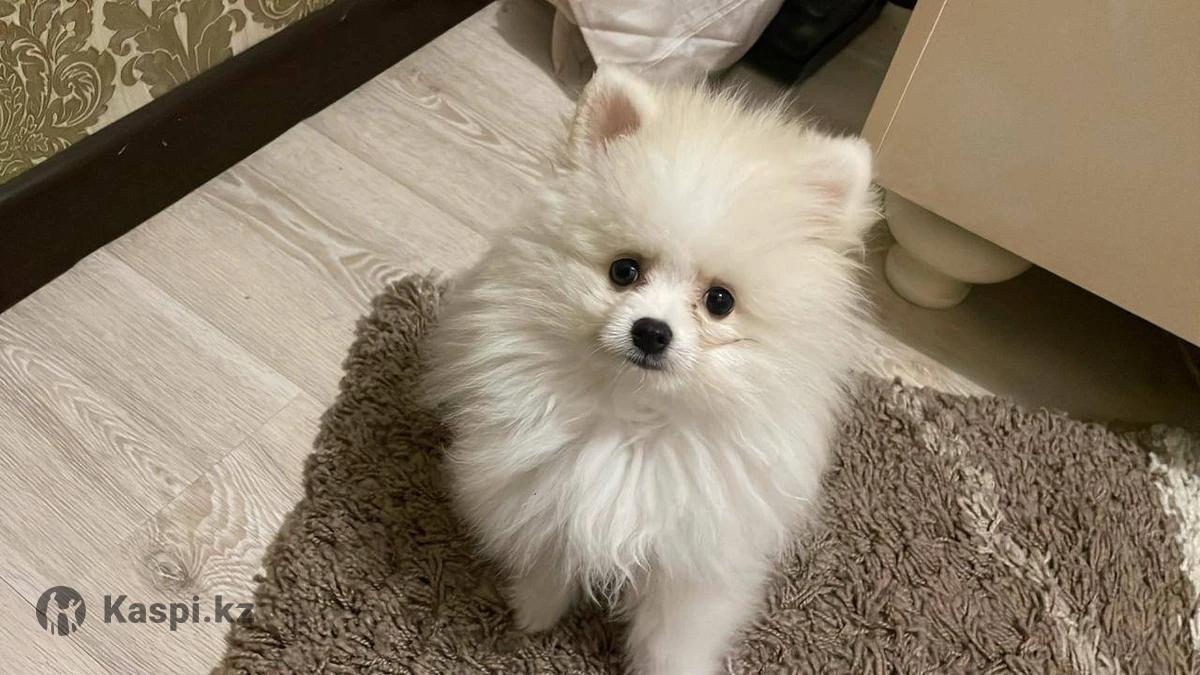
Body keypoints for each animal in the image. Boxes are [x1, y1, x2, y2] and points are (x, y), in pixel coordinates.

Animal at [424, 66, 878, 674]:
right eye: (624, 271)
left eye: (719, 302)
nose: (651, 331)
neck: (635, 418)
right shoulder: (548, 499)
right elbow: (548, 563)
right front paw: (534, 616)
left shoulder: (693, 566)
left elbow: (671, 639)